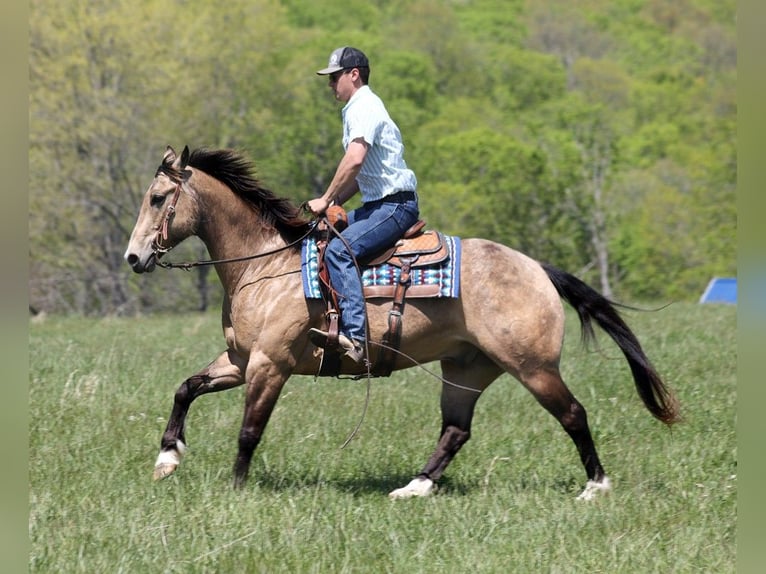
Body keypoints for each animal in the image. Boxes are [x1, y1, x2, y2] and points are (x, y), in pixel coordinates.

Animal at [123, 146, 680, 502]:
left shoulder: (269, 365)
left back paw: (595, 487)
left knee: (573, 414)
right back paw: (414, 487)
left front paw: (237, 491)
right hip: (467, 370)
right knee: (455, 430)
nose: (133, 257)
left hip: (533, 366)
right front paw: (167, 458)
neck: (266, 265)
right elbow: (186, 388)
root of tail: (538, 269)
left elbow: (249, 430)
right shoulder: (239, 361)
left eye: (157, 198)